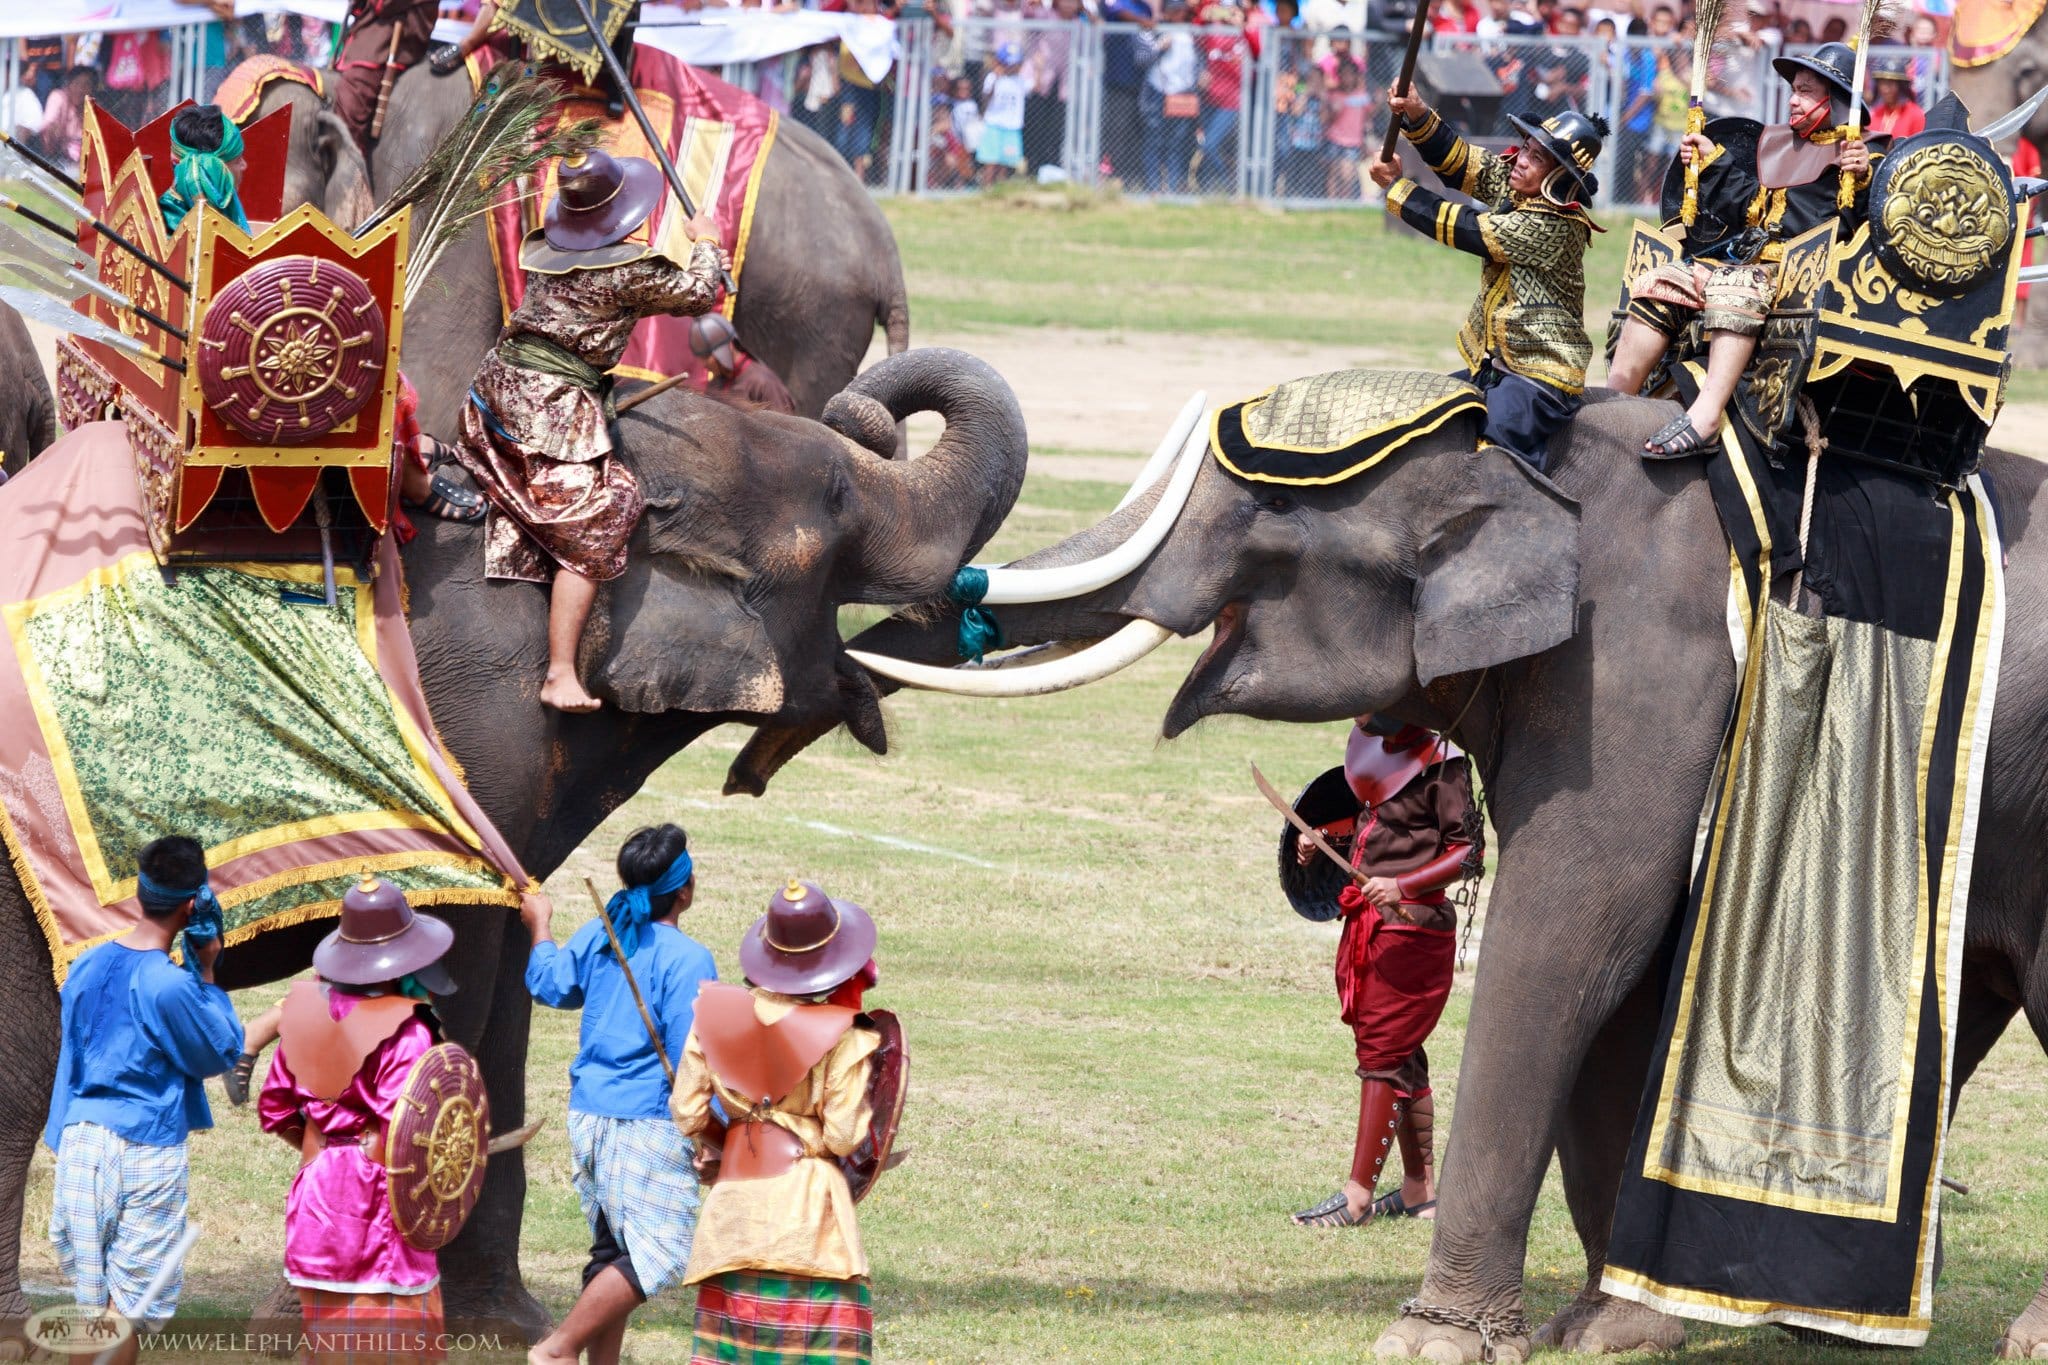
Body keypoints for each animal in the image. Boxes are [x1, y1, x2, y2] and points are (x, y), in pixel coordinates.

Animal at [0, 347, 1024, 1342]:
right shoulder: (481, 729)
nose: (864, 409)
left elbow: (509, 993)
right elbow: (452, 973)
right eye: (841, 500)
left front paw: (500, 1319)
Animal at [733, 388, 2048, 1358]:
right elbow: (1632, 966)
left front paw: (1437, 1341)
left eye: (1257, 542)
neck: (1532, 453)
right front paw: (1606, 1328)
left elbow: (1585, 920)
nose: (758, 759)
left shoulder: (1640, 673)